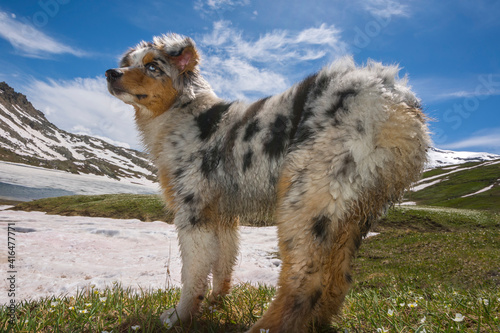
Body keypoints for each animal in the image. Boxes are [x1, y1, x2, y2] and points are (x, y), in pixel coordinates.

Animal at [106, 32, 430, 330]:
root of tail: (397, 102)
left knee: (303, 280)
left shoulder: (193, 209)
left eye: (152, 66)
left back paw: (264, 327)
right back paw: (317, 323)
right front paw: (215, 304)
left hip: (307, 194)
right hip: (354, 211)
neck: (181, 115)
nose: (111, 73)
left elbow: (193, 271)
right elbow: (223, 262)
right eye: (128, 63)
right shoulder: (223, 214)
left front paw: (178, 316)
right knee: (338, 278)